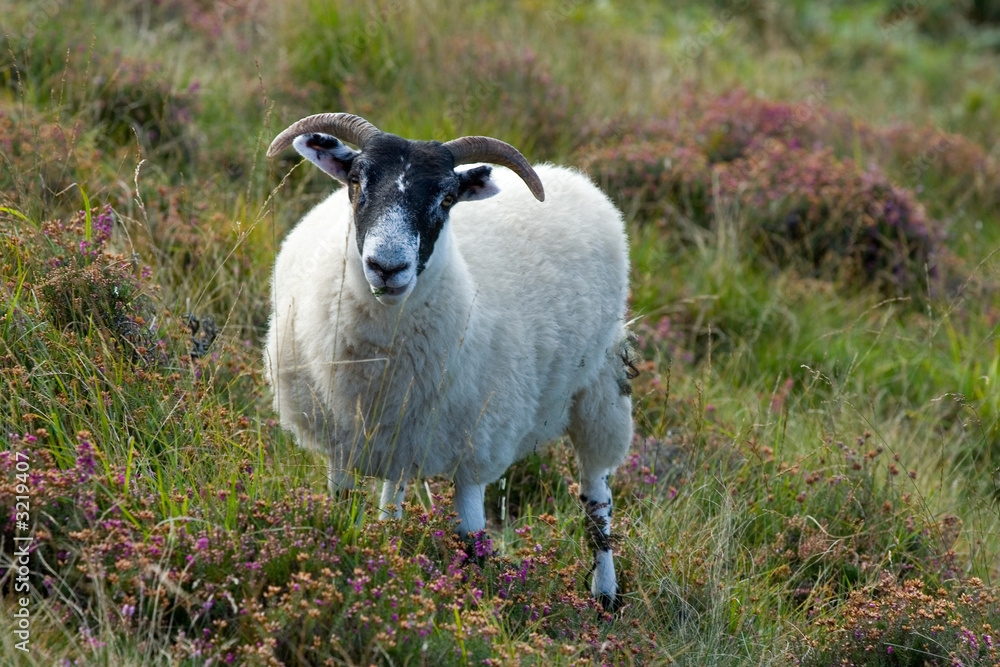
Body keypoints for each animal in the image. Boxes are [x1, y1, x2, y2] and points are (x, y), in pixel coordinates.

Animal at [264, 113, 634, 610]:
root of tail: (570, 176)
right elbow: (344, 513)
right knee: (395, 490)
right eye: (356, 182)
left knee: (596, 502)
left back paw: (605, 595)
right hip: (404, 434)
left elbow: (473, 546)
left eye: (446, 198)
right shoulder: (343, 442)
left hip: (600, 389)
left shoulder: (476, 450)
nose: (386, 267)